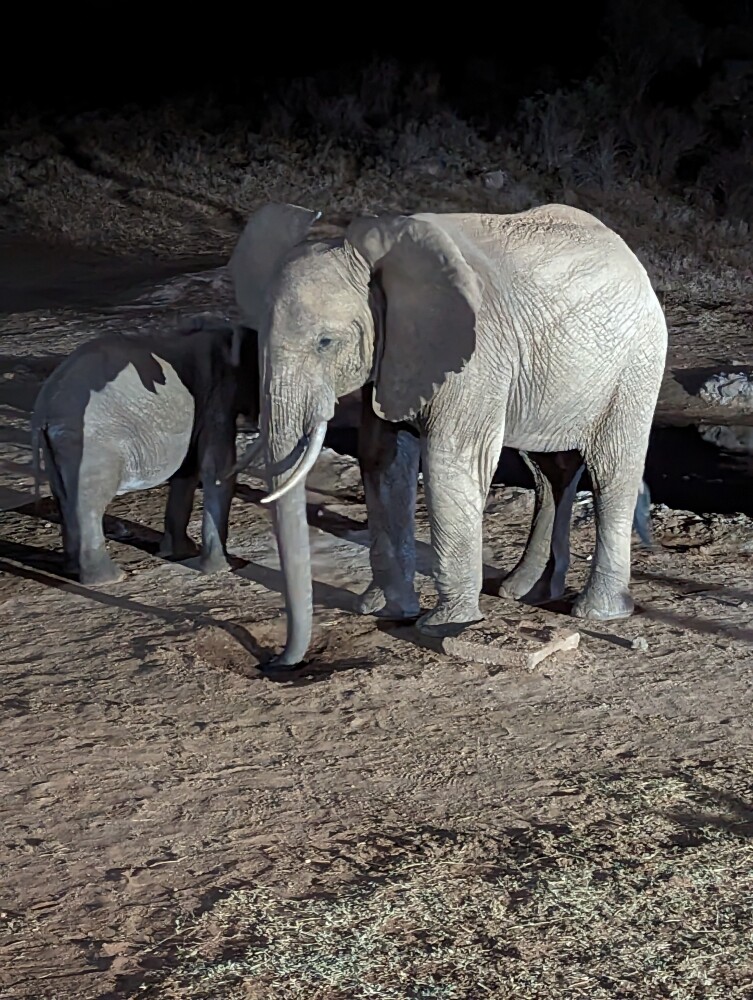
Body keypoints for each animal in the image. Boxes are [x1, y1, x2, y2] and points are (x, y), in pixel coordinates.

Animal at [31, 315, 259, 585]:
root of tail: (44, 407)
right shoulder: (217, 396)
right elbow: (217, 468)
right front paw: (221, 567)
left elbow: (187, 471)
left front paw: (180, 553)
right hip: (90, 443)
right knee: (89, 501)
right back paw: (110, 579)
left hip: (57, 447)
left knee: (63, 497)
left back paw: (72, 570)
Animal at [228, 202, 668, 669]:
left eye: (326, 342)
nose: (277, 662)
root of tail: (630, 257)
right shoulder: (394, 355)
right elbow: (382, 458)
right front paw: (385, 608)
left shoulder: (475, 356)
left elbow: (449, 461)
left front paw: (443, 626)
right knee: (550, 470)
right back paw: (522, 592)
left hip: (636, 365)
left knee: (611, 470)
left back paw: (597, 612)